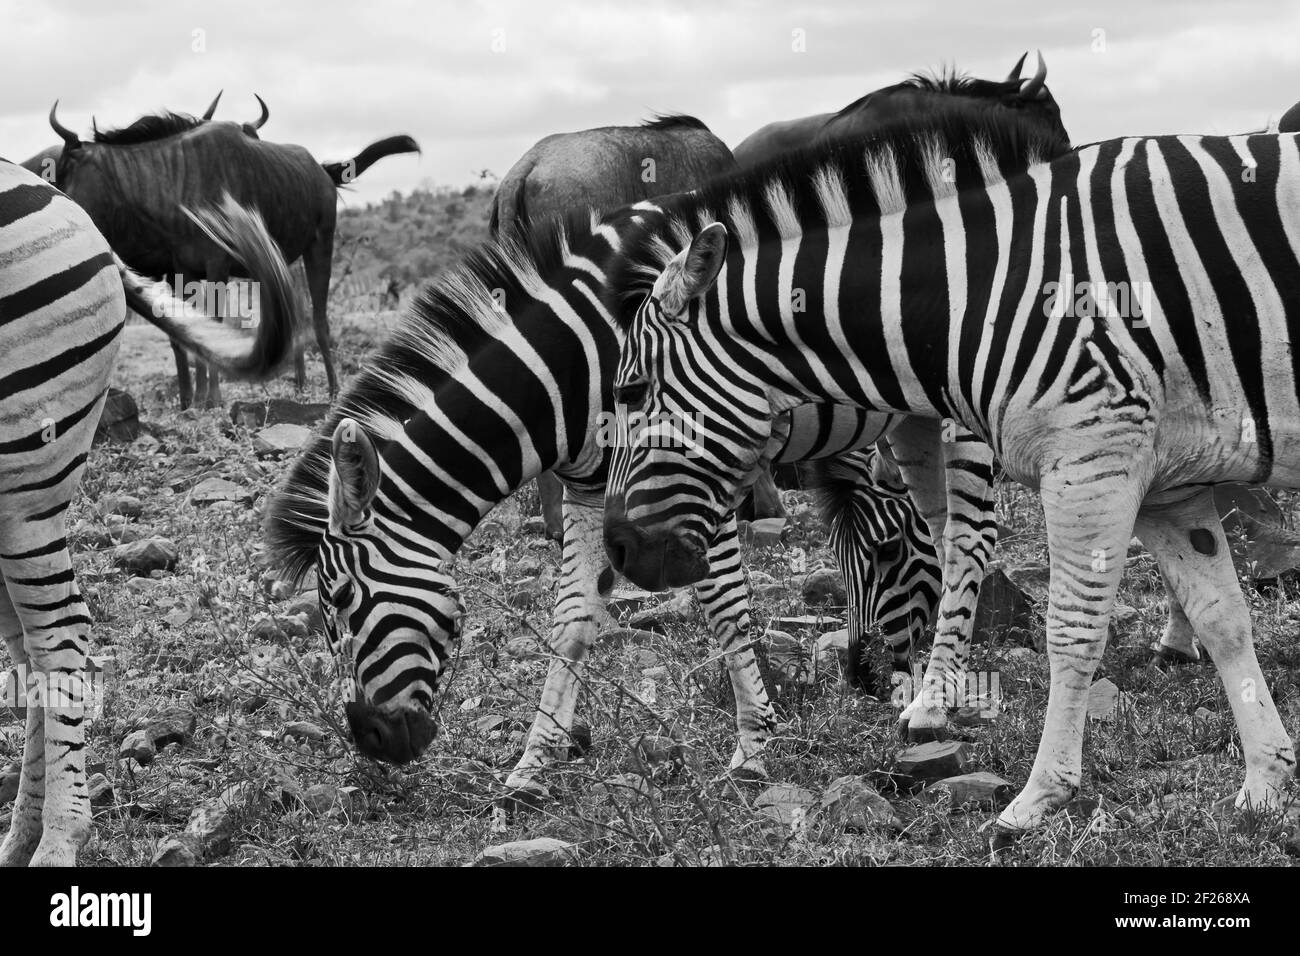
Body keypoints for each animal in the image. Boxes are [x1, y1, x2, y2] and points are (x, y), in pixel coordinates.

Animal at [603, 111, 1300, 842]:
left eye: (628, 391)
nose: (618, 550)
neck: (983, 291)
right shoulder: (1170, 486)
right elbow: (1224, 622)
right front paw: (1266, 783)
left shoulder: (1091, 462)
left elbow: (1072, 632)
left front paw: (1040, 798)